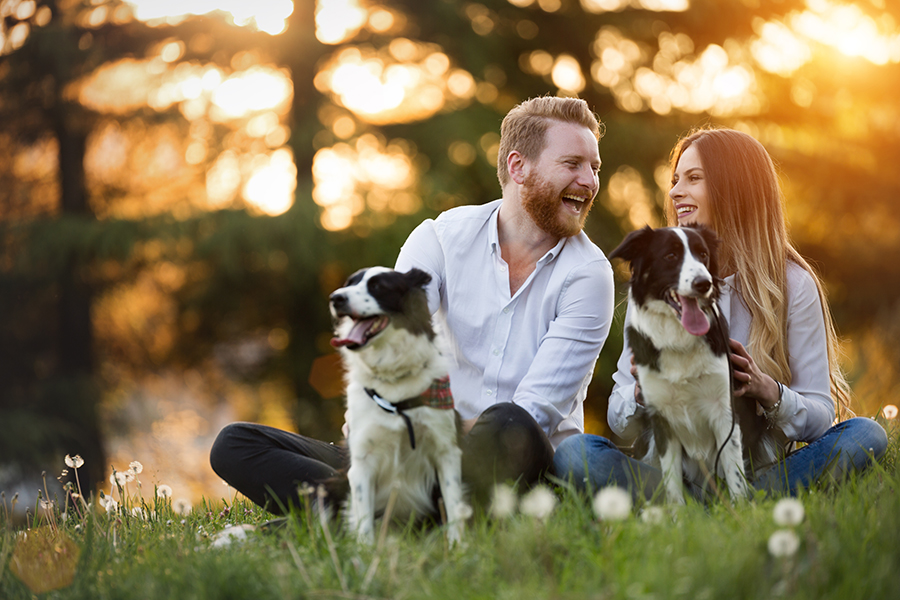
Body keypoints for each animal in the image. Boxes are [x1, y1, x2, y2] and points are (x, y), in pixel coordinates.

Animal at [328, 268, 472, 544]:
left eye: (378, 287)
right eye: (349, 284)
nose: (336, 298)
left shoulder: (446, 450)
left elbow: (453, 505)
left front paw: (458, 547)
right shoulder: (361, 461)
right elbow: (363, 522)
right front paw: (365, 552)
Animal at [616, 225, 776, 502]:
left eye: (703, 255)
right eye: (670, 256)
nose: (704, 283)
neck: (679, 338)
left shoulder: (725, 411)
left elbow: (735, 475)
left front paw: (741, 509)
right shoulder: (661, 418)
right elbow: (672, 484)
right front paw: (677, 513)